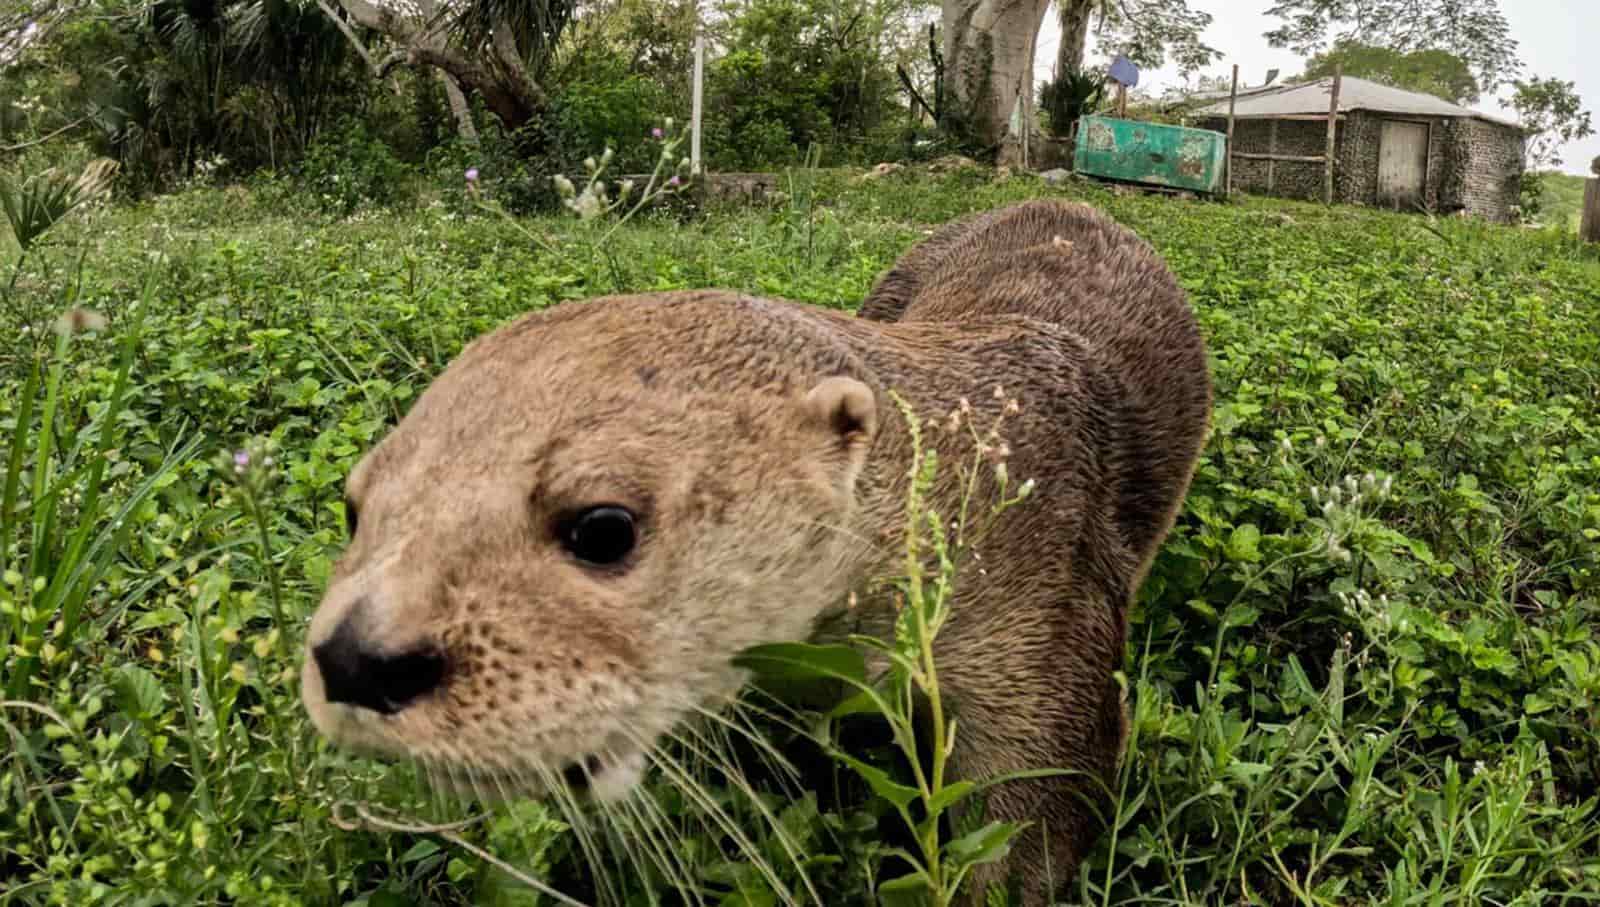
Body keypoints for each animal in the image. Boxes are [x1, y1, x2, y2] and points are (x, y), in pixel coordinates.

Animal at [300, 196, 1203, 902]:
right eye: (354, 508)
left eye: (602, 526)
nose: (356, 658)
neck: (979, 475)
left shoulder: (1050, 627)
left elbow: (1032, 827)